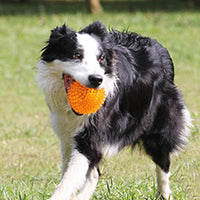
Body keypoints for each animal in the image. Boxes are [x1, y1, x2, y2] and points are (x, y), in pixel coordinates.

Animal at [36, 21, 192, 199]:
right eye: (76, 55)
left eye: (101, 59)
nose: (97, 79)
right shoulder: (66, 134)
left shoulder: (92, 133)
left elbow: (70, 178)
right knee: (94, 174)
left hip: (159, 123)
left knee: (163, 159)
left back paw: (164, 193)